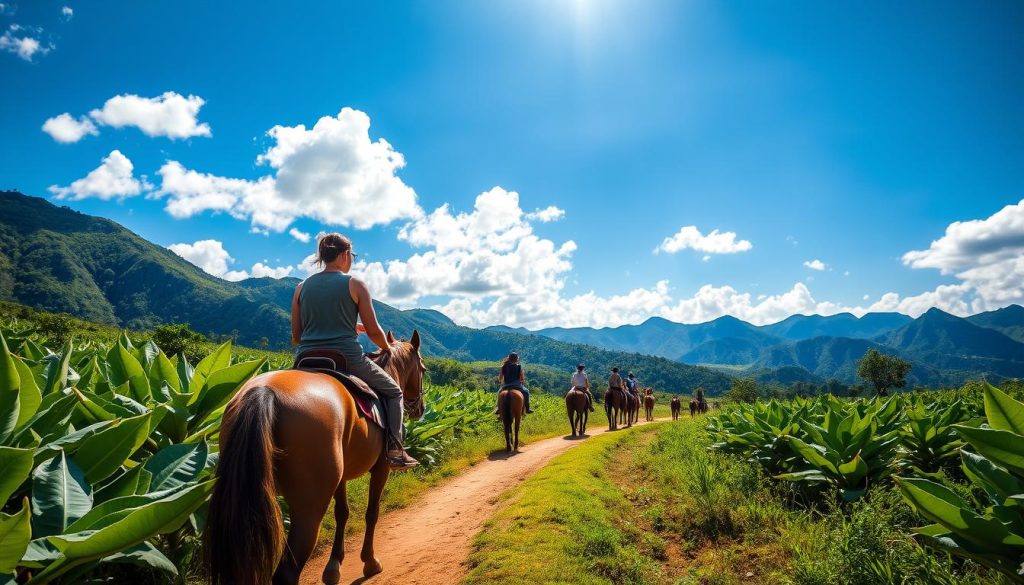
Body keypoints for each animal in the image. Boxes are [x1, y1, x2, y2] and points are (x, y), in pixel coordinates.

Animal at [203, 329, 428, 585]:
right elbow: (372, 513)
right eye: (423, 368)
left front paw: (333, 567)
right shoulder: (382, 468)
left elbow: (342, 513)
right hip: (309, 506)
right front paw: (370, 562)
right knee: (287, 572)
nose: (420, 408)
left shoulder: (340, 477)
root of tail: (264, 392)